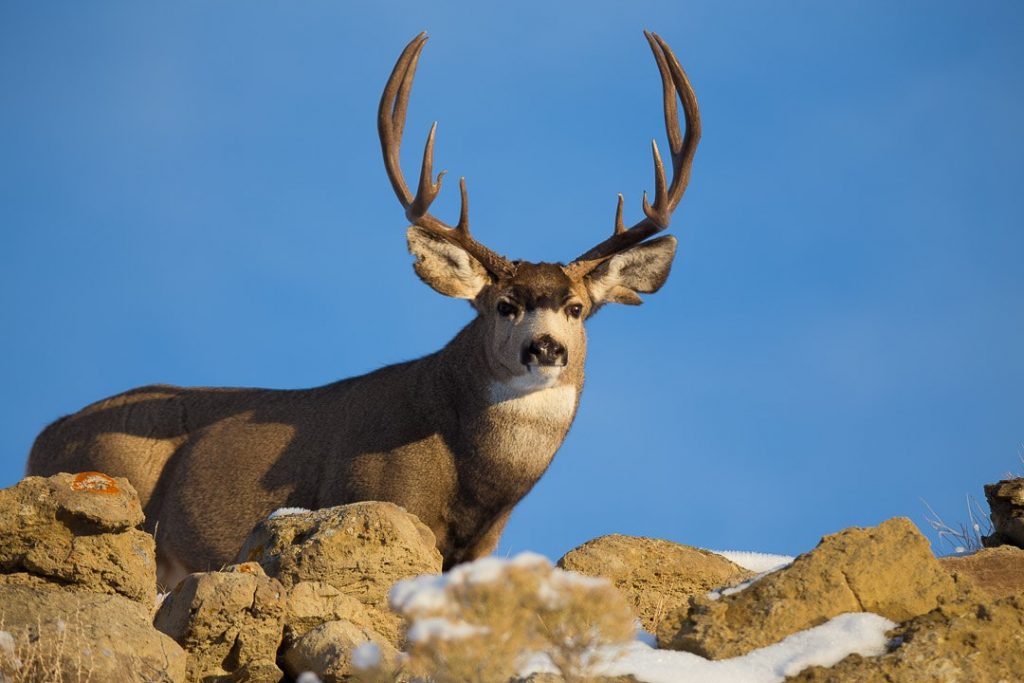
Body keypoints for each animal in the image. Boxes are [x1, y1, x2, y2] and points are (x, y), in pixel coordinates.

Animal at [25, 31, 696, 589]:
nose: (546, 348)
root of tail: (42, 440)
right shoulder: (379, 496)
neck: (472, 479)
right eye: (503, 305)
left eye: (577, 308)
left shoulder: (481, 548)